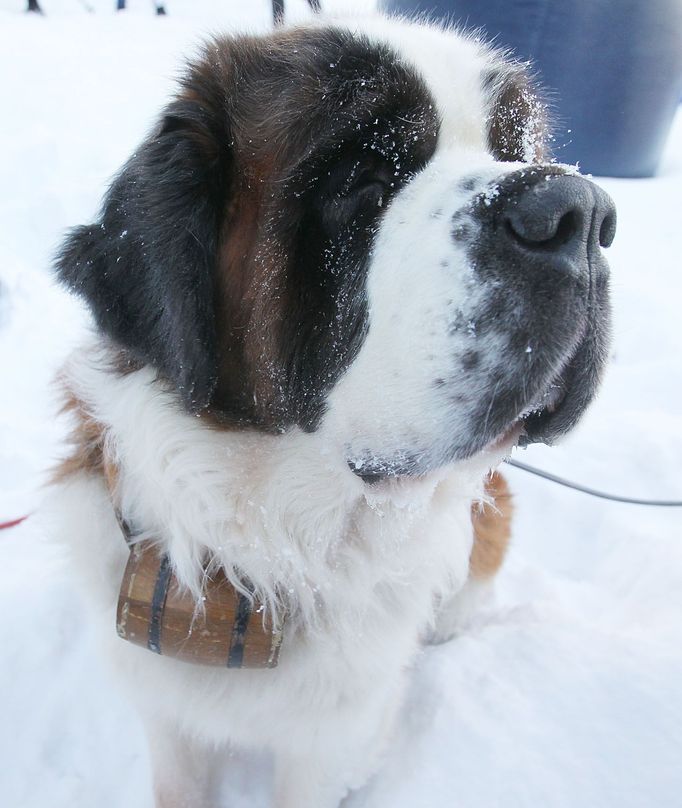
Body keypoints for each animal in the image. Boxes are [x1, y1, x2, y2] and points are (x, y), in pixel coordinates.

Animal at [46, 11, 612, 808]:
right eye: (362, 181)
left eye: (512, 152)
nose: (582, 209)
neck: (267, 557)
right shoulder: (165, 710)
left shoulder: (332, 741)